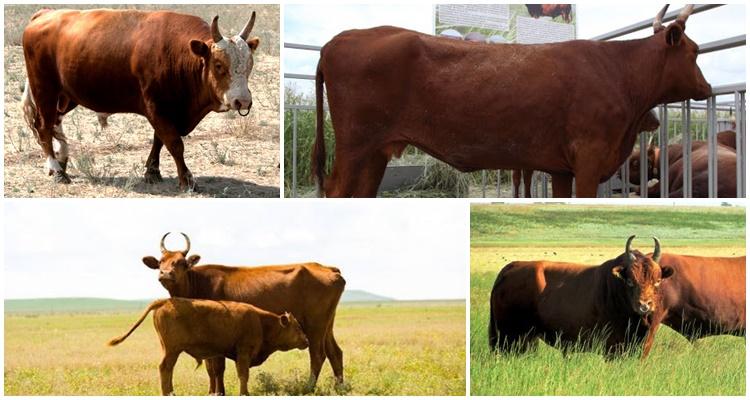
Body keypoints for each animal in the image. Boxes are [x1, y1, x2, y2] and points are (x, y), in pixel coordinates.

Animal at [21, 9, 261, 190]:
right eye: (219, 65)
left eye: (250, 64)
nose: (242, 101)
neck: (178, 53)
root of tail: (45, 13)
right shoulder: (156, 107)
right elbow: (175, 144)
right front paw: (186, 179)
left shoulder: (167, 110)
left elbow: (159, 140)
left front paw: (152, 171)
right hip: (45, 90)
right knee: (44, 127)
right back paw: (57, 170)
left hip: (66, 95)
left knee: (55, 123)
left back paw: (61, 161)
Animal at [108, 298, 309, 395]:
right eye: (297, 327)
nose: (306, 341)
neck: (261, 322)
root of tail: (165, 301)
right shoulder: (243, 353)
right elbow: (243, 375)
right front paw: (245, 393)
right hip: (172, 350)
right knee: (165, 368)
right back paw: (169, 393)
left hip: (167, 349)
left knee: (167, 369)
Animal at [141, 233, 345, 395]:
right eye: (161, 262)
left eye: (181, 263)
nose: (165, 274)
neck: (198, 282)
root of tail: (329, 269)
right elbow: (210, 368)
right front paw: (212, 391)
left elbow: (217, 368)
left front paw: (218, 392)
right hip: (327, 327)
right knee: (335, 353)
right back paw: (340, 387)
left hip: (315, 328)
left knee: (317, 355)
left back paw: (308, 387)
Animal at [312, 5, 711, 198]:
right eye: (694, 51)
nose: (707, 88)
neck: (618, 72)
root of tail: (338, 40)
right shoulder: (589, 158)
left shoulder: (561, 168)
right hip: (354, 147)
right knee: (336, 191)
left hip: (375, 152)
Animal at [488, 236, 674, 358]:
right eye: (629, 280)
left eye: (657, 281)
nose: (644, 305)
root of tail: (511, 267)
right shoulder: (613, 347)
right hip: (510, 338)